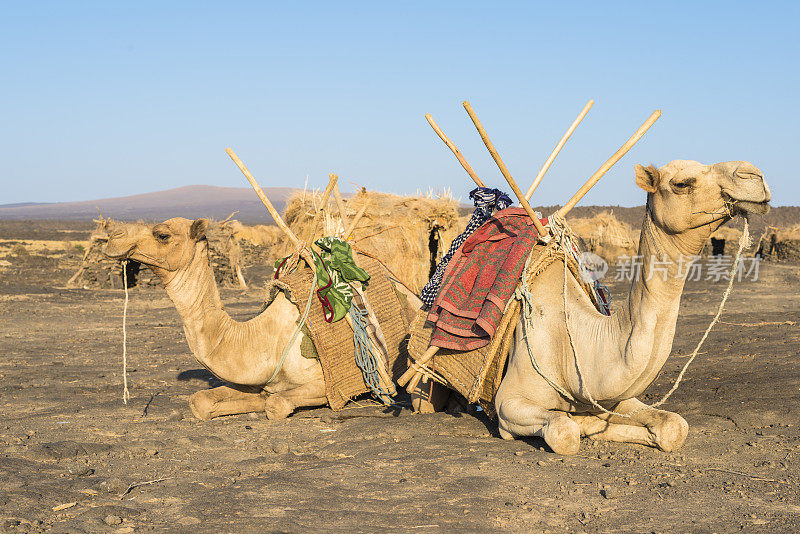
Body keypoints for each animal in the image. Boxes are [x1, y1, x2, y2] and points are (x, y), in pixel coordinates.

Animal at [103, 220, 422, 420]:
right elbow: (199, 402)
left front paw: (263, 403)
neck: (262, 340)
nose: (112, 238)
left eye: (162, 234)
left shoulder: (327, 385)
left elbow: (276, 404)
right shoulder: (253, 380)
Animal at [496, 160, 772, 456]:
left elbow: (674, 425)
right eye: (682, 183)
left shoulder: (614, 398)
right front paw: (581, 424)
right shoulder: (507, 403)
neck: (572, 345)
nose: (753, 174)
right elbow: (564, 432)